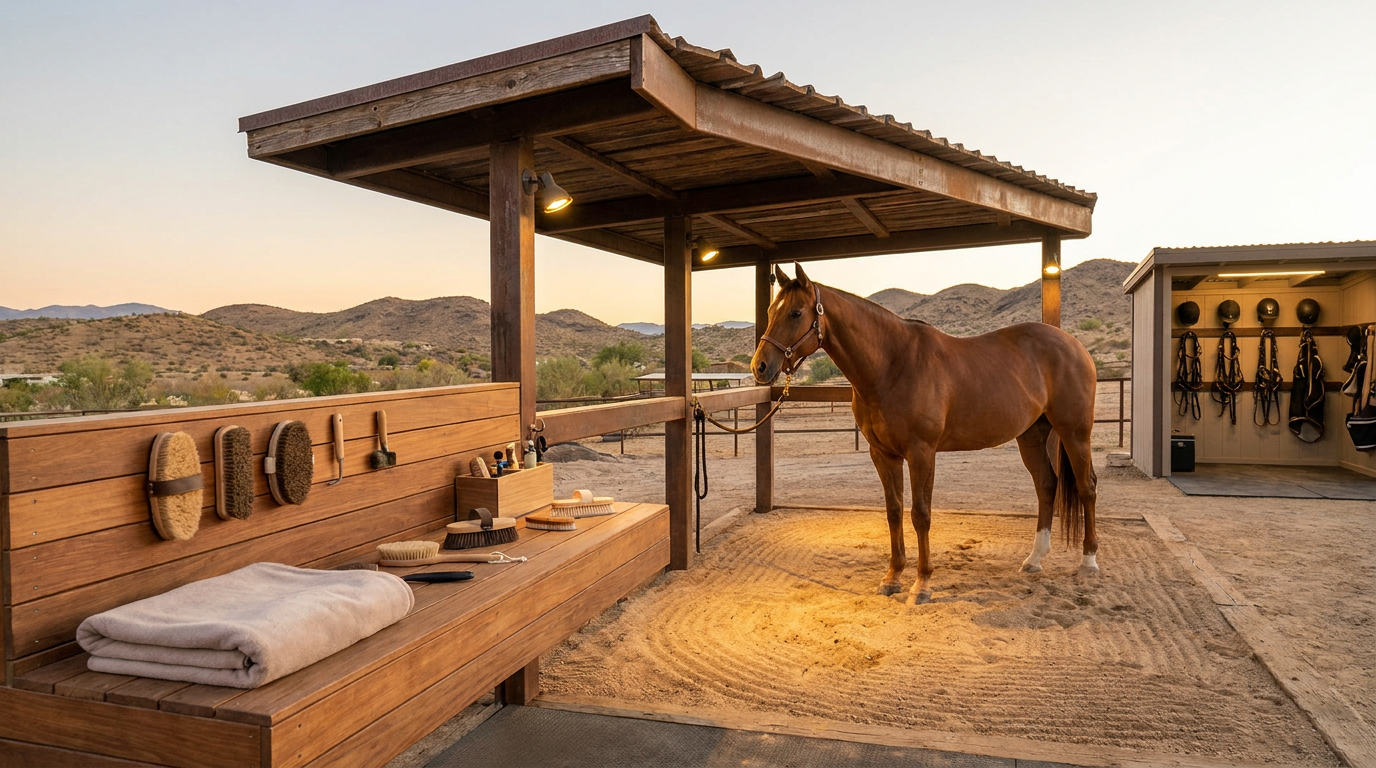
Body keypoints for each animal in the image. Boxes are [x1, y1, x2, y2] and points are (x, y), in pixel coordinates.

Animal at [750, 263, 1100, 603]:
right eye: (770, 311)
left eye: (796, 313)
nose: (760, 367)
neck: (892, 365)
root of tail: (1075, 345)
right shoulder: (883, 454)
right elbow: (893, 512)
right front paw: (892, 578)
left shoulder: (921, 452)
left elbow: (921, 514)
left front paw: (922, 583)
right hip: (1031, 436)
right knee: (1046, 485)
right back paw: (1034, 559)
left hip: (1075, 433)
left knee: (1087, 488)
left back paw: (1088, 562)